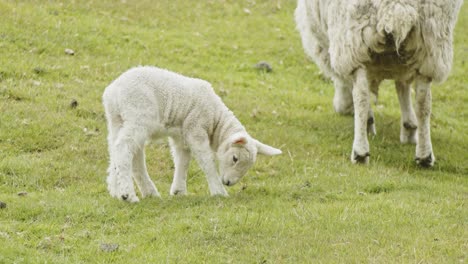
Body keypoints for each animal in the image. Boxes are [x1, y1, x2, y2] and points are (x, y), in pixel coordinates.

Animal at [102, 66, 282, 202]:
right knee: (124, 148)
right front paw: (219, 191)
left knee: (121, 152)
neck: (215, 119)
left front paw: (179, 191)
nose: (229, 182)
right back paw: (128, 195)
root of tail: (113, 92)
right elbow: (207, 161)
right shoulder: (195, 128)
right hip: (138, 115)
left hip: (117, 121)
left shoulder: (182, 136)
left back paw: (128, 191)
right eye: (235, 158)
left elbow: (183, 161)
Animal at [294, 0, 462, 166]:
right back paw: (425, 155)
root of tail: (397, 6)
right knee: (423, 102)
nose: (342, 109)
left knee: (361, 95)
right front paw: (409, 128)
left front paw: (367, 122)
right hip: (431, 42)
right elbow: (402, 87)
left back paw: (360, 152)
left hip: (353, 39)